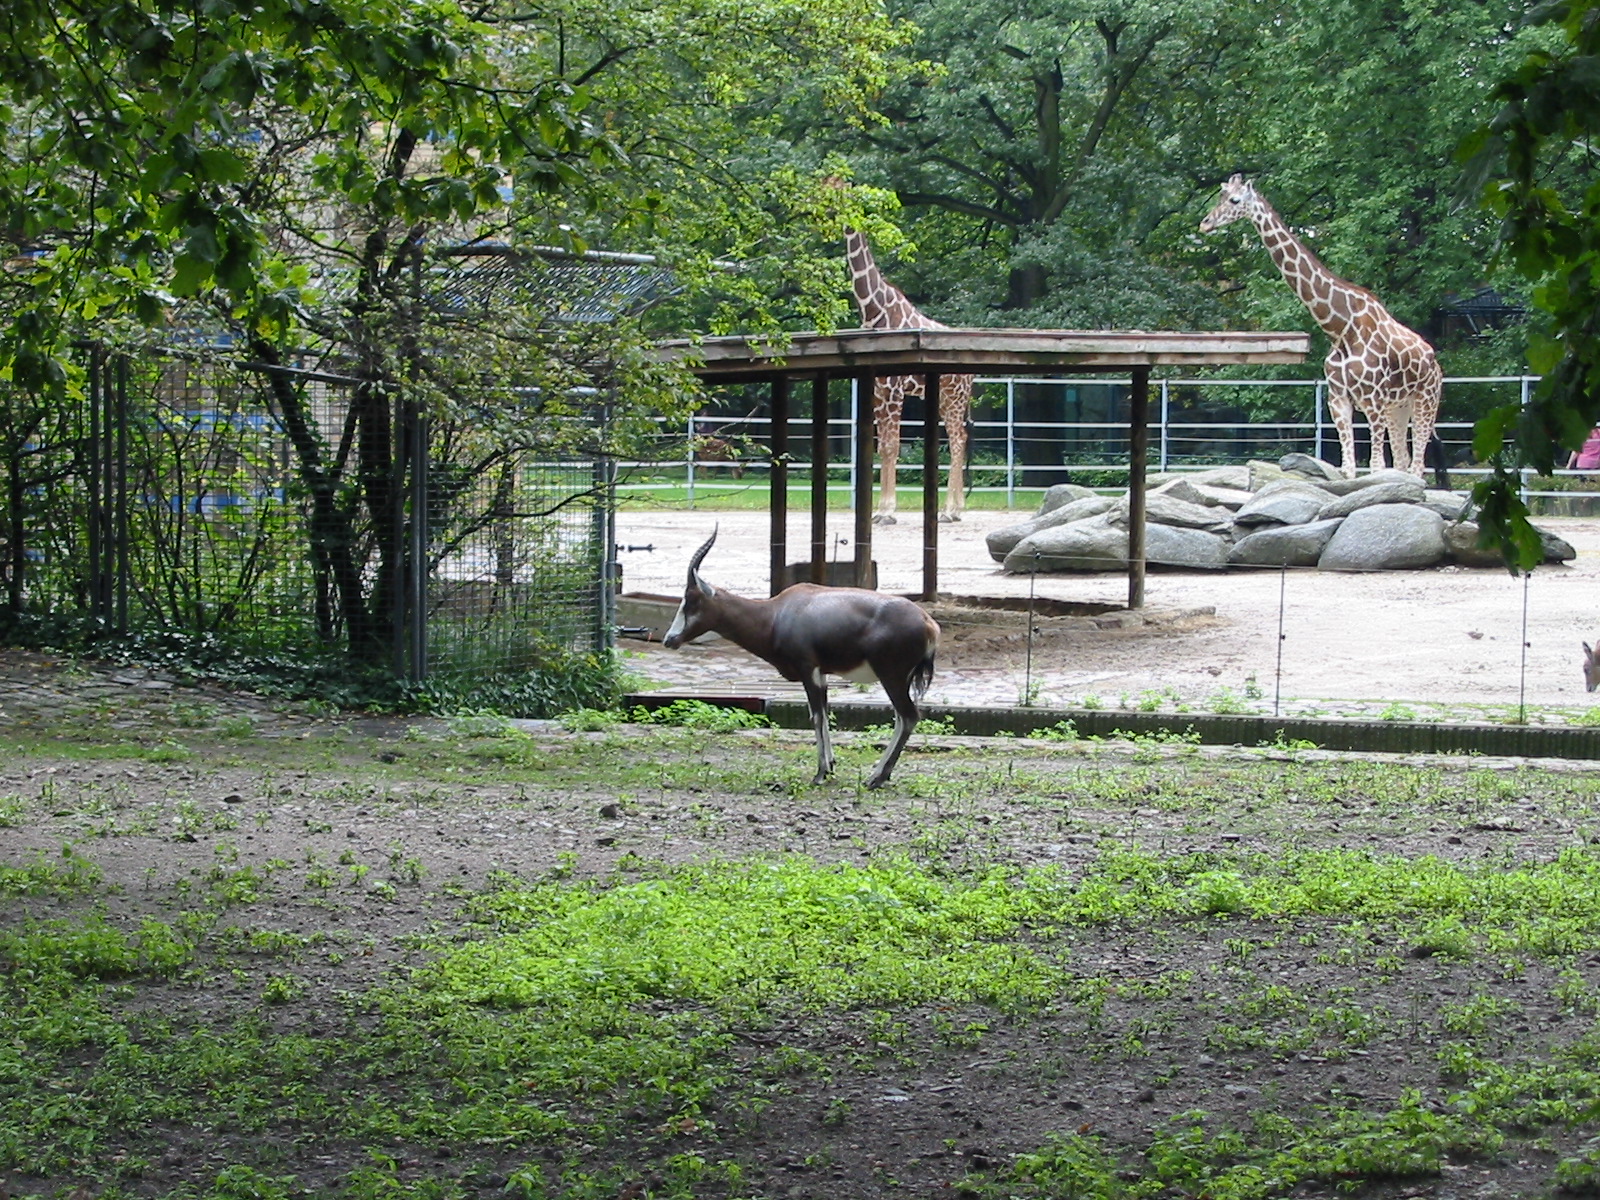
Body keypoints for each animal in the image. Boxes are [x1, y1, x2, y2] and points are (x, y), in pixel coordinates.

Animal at [843, 228, 973, 523]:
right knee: (960, 437)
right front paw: (879, 511)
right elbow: (881, 447)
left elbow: (892, 446)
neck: (874, 309)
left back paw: (948, 511)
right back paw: (957, 509)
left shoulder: (893, 388)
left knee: (957, 440)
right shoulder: (878, 389)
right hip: (945, 399)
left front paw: (887, 512)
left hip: (955, 396)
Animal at [1199, 174, 1442, 479]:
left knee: (1416, 465)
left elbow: (1375, 466)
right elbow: (1348, 469)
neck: (1341, 329)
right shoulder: (1338, 399)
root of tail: (1435, 364)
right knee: (1403, 461)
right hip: (1399, 406)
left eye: (1234, 200)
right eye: (1220, 196)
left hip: (1425, 400)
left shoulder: (1373, 399)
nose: (1205, 223)